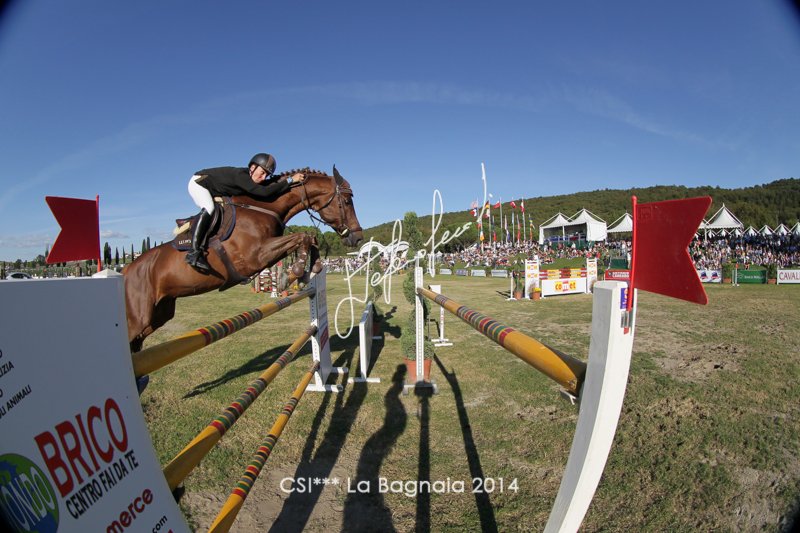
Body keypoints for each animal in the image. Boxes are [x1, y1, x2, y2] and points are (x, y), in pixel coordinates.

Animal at [123, 166, 363, 352]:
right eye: (346, 201)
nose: (358, 237)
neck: (263, 206)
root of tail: (126, 271)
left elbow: (309, 238)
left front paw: (308, 271)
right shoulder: (253, 257)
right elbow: (302, 236)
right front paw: (290, 276)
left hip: (158, 315)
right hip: (138, 319)